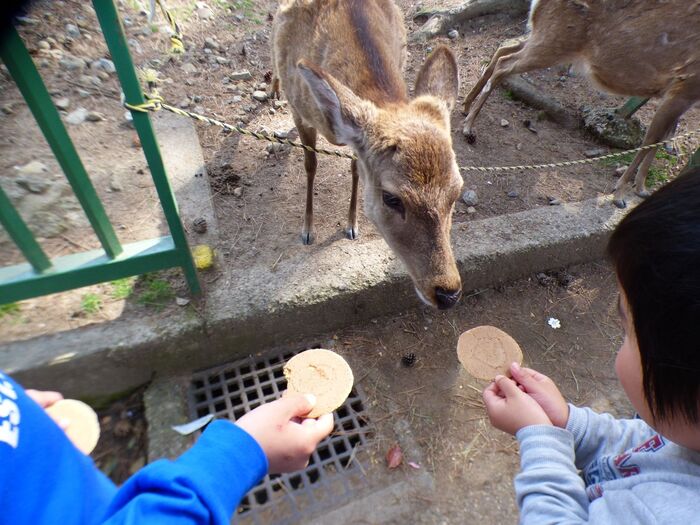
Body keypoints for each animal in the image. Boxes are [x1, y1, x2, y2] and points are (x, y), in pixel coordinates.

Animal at [270, 0, 464, 310]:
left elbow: (354, 169)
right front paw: (308, 230)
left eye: (457, 191)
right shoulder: (300, 112)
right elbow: (311, 164)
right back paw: (273, 88)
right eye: (392, 198)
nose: (448, 293)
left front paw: (352, 225)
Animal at [461, 0, 700, 208]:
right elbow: (651, 139)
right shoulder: (685, 84)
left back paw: (465, 105)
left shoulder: (680, 92)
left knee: (504, 50)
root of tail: (536, 3)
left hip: (544, 37)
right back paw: (468, 127)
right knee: (504, 63)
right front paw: (620, 194)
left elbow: (661, 138)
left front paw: (641, 189)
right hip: (553, 42)